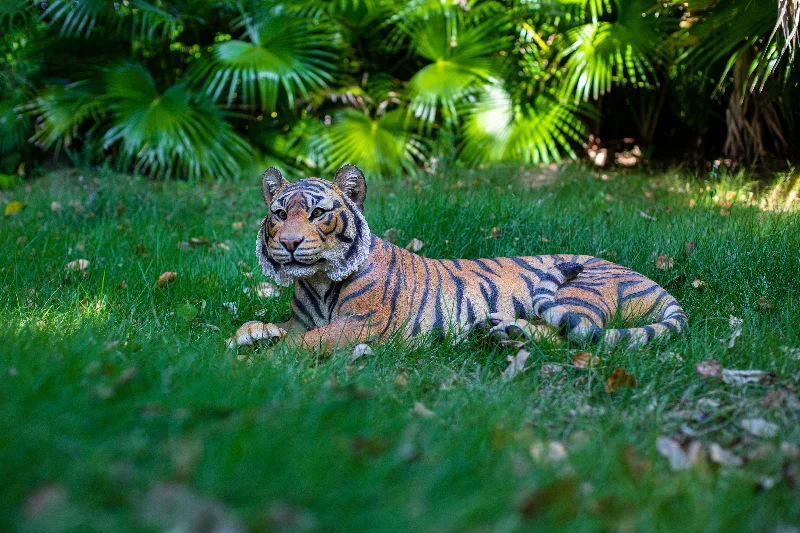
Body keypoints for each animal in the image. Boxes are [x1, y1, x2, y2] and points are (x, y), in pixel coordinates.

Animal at [231, 164, 688, 352]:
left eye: (317, 213)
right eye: (279, 214)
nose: (290, 243)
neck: (319, 279)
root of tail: (648, 278)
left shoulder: (358, 326)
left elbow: (302, 344)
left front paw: (259, 363)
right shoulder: (302, 319)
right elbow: (269, 327)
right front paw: (248, 335)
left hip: (583, 289)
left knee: (575, 332)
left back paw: (506, 332)